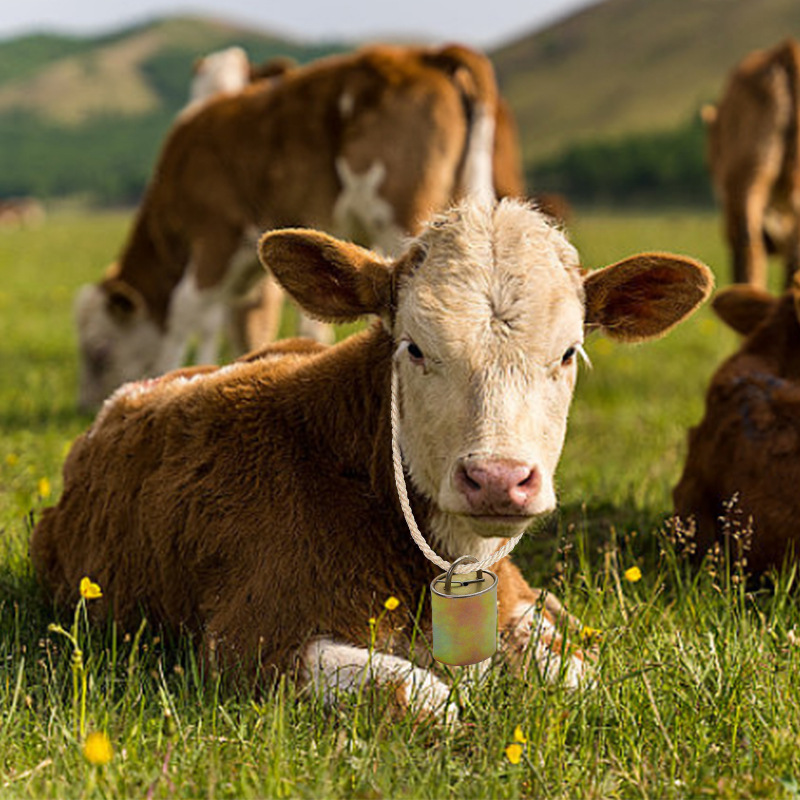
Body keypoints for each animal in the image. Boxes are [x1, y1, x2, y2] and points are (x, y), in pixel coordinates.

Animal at [33, 199, 713, 720]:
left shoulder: (514, 603)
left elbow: (579, 674)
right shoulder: (251, 640)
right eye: (413, 348)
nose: (498, 479)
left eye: (569, 352)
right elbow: (427, 696)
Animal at [74, 43, 512, 413]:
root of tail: (421, 54)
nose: (84, 408)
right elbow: (225, 319)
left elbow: (187, 312)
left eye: (99, 352)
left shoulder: (215, 236)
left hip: (399, 208)